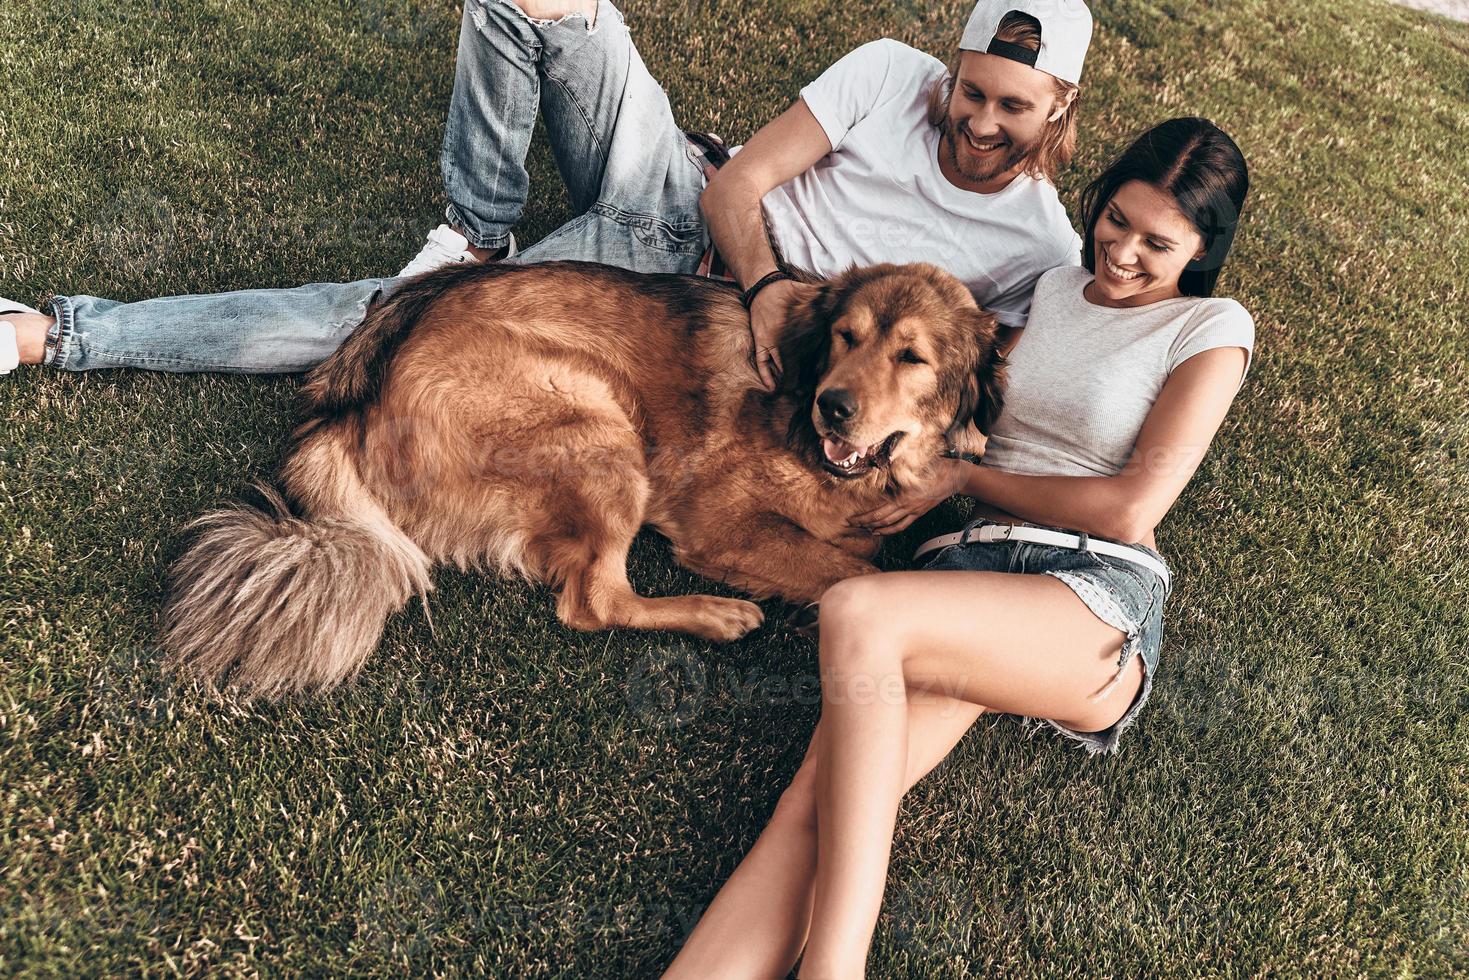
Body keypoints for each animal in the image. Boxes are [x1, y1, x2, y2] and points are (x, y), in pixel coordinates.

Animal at [163, 257, 1010, 693]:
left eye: (911, 358)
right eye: (845, 336)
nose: (833, 408)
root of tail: (347, 394)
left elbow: (855, 551)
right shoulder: (721, 522)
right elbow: (854, 571)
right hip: (600, 425)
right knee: (593, 601)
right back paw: (714, 615)